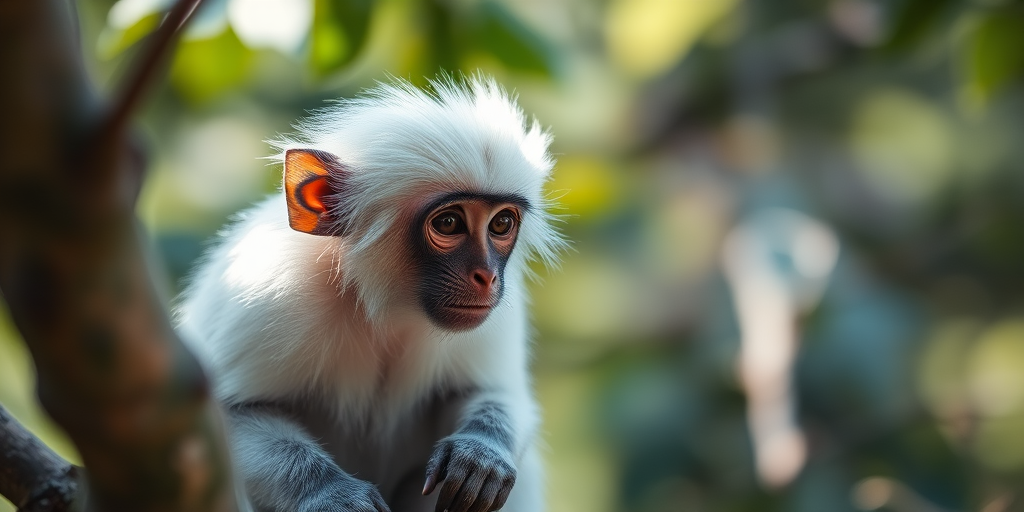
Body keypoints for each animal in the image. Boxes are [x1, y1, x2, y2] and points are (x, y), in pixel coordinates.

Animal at [174, 75, 563, 512]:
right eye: (448, 223)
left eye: (500, 224)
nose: (487, 277)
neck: (387, 305)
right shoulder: (270, 294)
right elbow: (229, 414)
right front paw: (333, 494)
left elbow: (495, 394)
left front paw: (481, 454)